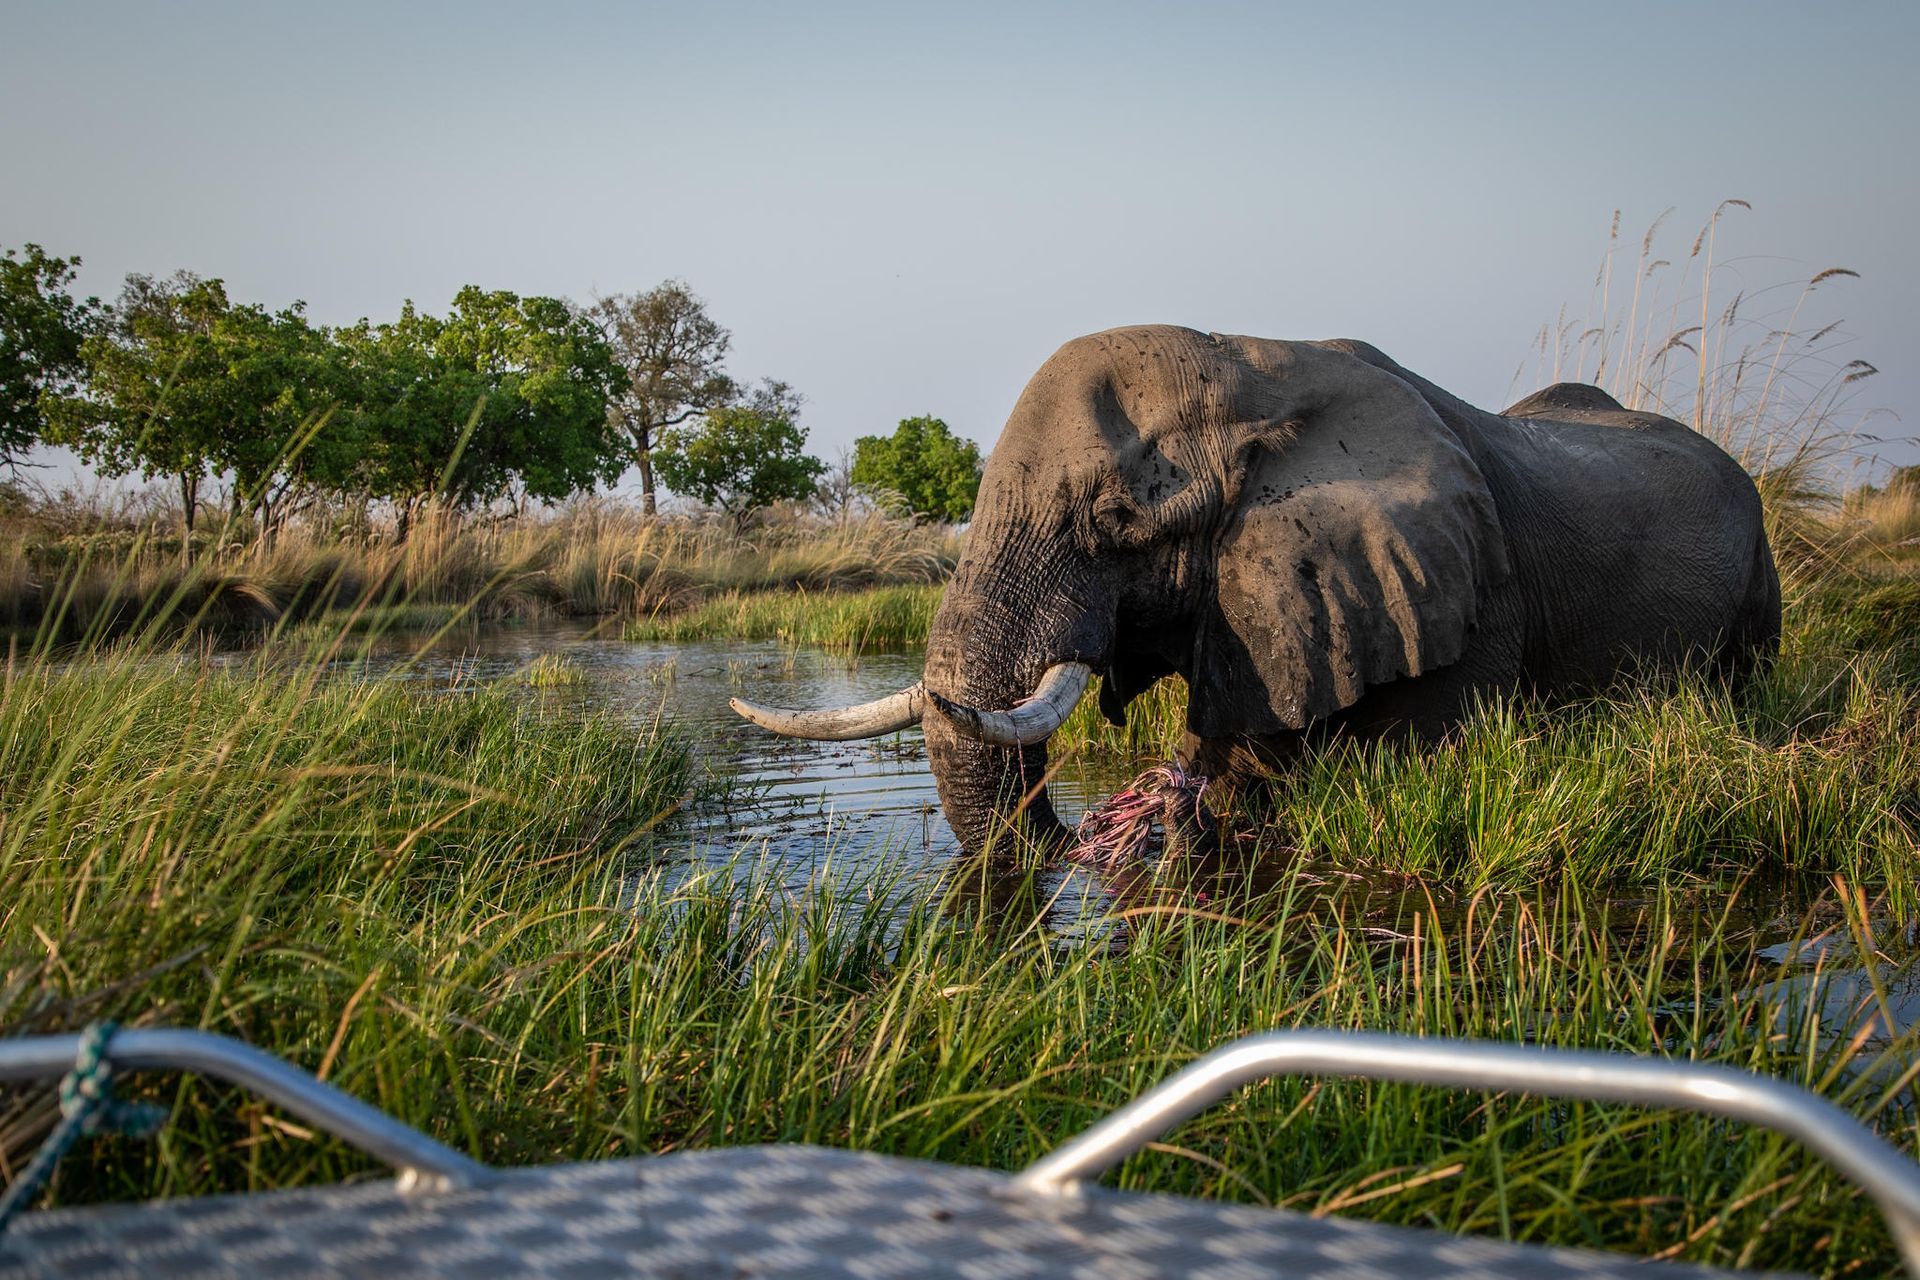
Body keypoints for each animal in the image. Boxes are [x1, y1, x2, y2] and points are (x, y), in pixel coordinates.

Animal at [733, 326, 1781, 856]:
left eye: (1118, 521)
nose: (1079, 833)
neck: (1254, 365)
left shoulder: (1470, 591)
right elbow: (1233, 769)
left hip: (1759, 585)